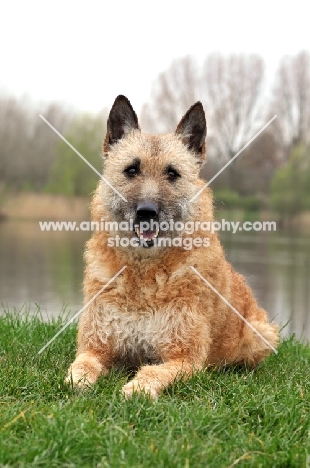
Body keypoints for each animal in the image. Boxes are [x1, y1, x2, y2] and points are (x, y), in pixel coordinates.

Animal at [66, 94, 280, 398]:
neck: (144, 275)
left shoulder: (184, 360)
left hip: (260, 334)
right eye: (131, 170)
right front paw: (80, 379)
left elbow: (153, 372)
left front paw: (138, 389)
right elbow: (81, 366)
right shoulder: (95, 347)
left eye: (172, 173)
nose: (146, 212)